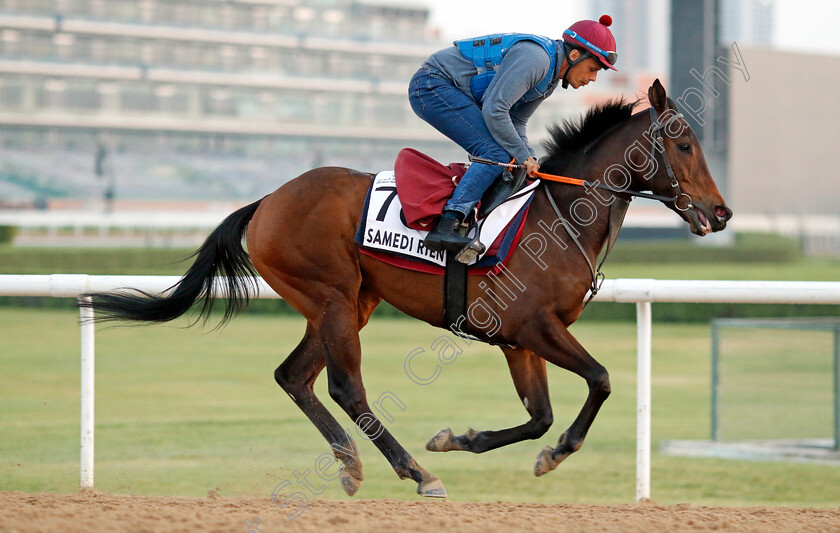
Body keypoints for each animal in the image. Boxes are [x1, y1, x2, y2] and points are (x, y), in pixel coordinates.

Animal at [82, 80, 732, 498]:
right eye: (683, 144)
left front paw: (458, 439)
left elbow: (539, 416)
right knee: (345, 386)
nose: (721, 213)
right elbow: (599, 380)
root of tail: (267, 201)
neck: (561, 214)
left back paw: (353, 465)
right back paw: (417, 474)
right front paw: (551, 455)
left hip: (348, 304)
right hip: (333, 297)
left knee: (294, 377)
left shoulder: (517, 340)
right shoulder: (533, 326)